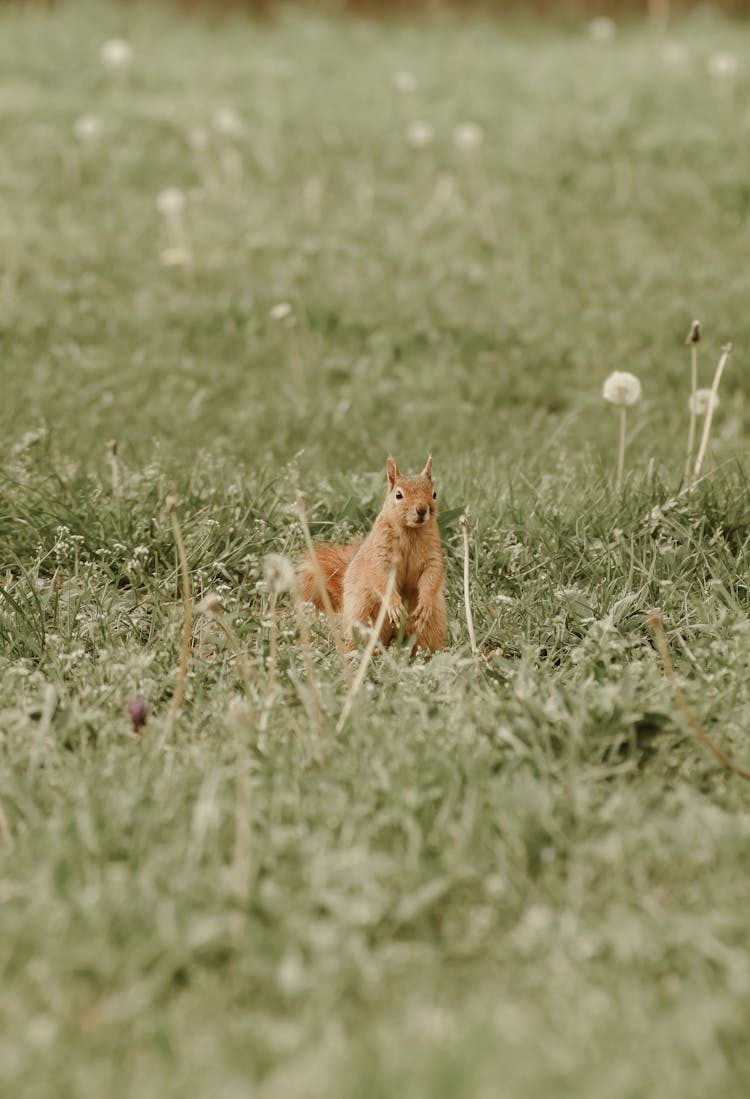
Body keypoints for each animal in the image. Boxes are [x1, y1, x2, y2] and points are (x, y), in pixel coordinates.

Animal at [296, 454, 444, 650]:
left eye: (434, 494)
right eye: (398, 495)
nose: (421, 510)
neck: (410, 532)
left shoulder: (432, 554)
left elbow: (433, 574)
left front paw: (425, 602)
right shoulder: (379, 552)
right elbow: (380, 575)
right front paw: (394, 603)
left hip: (432, 624)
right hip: (362, 615)